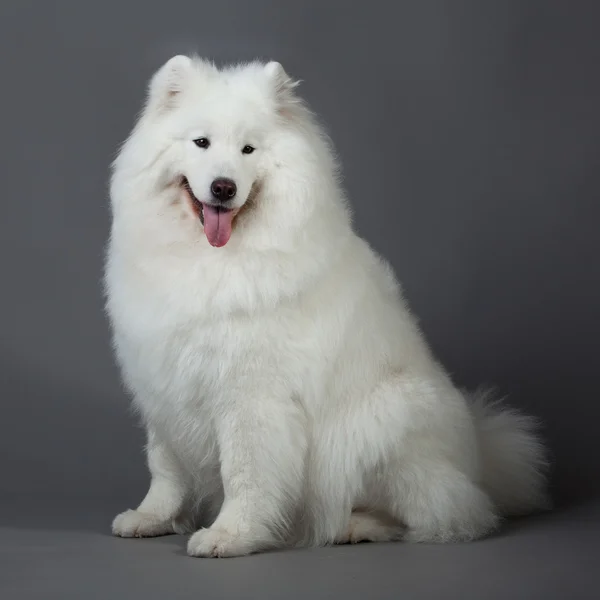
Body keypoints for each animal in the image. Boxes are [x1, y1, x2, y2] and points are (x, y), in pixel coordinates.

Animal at [104, 56, 548, 556]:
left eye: (248, 150)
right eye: (201, 142)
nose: (223, 187)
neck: (210, 257)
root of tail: (481, 461)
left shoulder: (250, 395)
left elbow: (244, 473)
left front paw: (229, 535)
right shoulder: (163, 384)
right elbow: (166, 468)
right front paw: (152, 518)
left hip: (380, 423)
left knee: (442, 513)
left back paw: (353, 527)